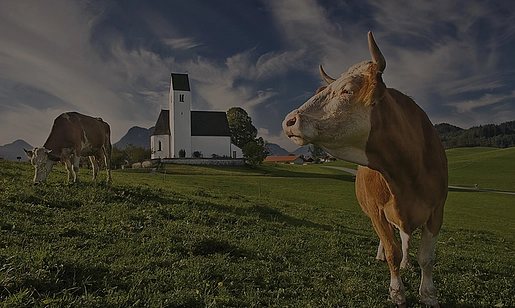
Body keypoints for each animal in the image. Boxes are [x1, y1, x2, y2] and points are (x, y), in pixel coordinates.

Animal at [284, 32, 450, 306]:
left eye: (348, 90)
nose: (289, 121)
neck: (406, 174)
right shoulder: (376, 210)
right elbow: (392, 249)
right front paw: (397, 291)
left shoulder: (437, 209)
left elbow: (426, 257)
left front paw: (428, 294)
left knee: (406, 238)